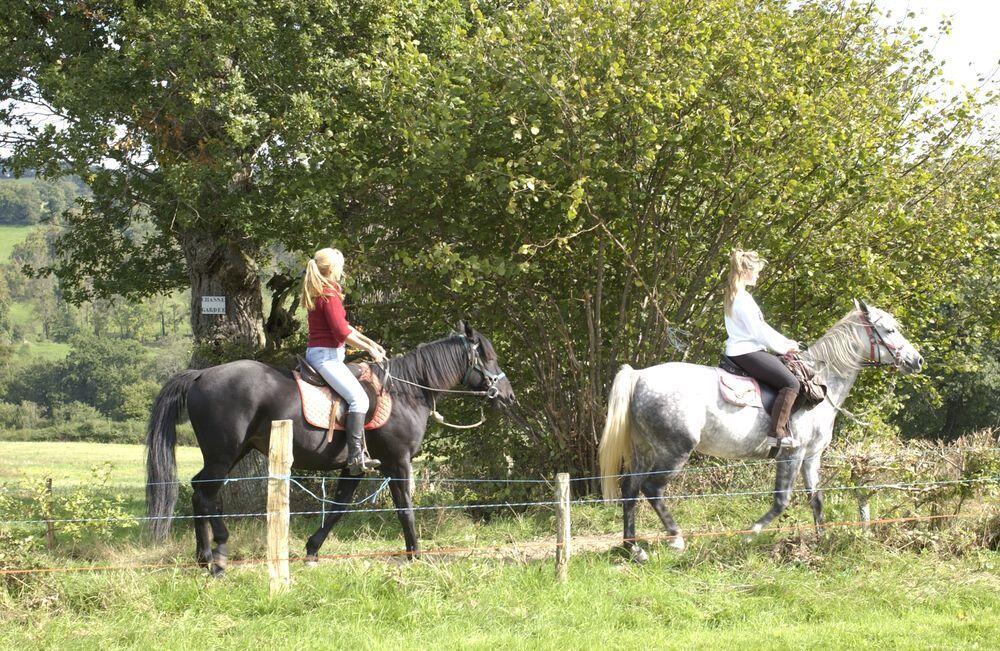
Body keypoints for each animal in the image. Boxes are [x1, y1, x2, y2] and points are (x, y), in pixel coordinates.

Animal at [146, 320, 516, 576]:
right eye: (490, 357)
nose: (508, 396)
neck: (405, 392)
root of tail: (201, 375)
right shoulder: (398, 463)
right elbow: (405, 509)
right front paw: (415, 555)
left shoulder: (354, 468)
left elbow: (338, 509)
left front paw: (312, 551)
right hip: (223, 454)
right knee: (207, 494)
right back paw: (218, 553)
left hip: (232, 453)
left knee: (199, 491)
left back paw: (203, 557)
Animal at [596, 300, 924, 560]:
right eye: (890, 331)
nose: (916, 360)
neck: (821, 383)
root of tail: (640, 376)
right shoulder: (791, 454)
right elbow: (781, 500)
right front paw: (750, 533)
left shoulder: (811, 457)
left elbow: (816, 498)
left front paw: (821, 540)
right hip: (673, 450)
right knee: (652, 489)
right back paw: (675, 539)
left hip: (644, 450)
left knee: (630, 490)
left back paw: (633, 548)